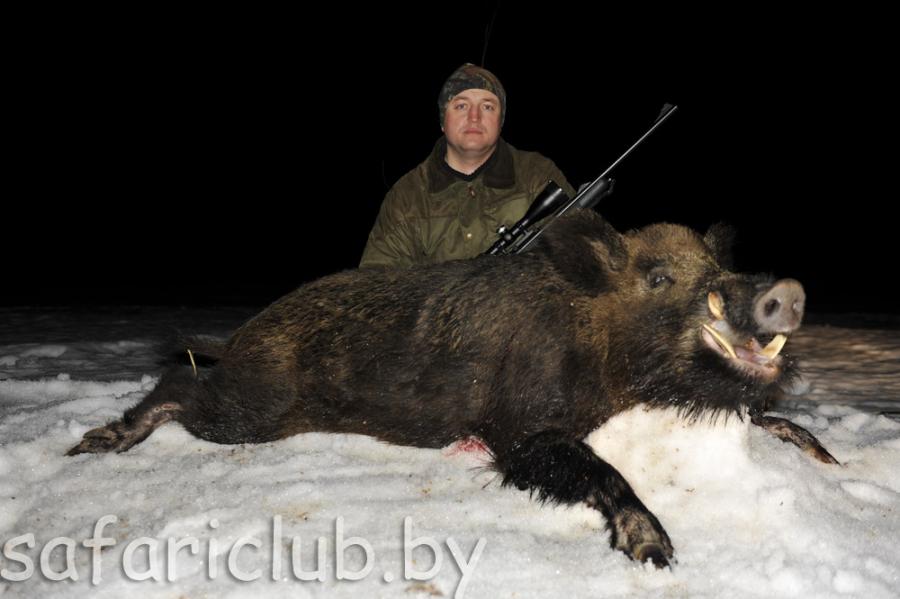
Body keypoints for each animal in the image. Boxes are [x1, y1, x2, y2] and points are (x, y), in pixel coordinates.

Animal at [67, 209, 837, 568]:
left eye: (715, 264)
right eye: (657, 276)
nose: (789, 293)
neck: (598, 341)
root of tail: (243, 335)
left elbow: (771, 420)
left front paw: (828, 459)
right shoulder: (516, 430)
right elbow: (598, 468)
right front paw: (657, 552)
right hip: (252, 410)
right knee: (177, 378)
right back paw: (91, 445)